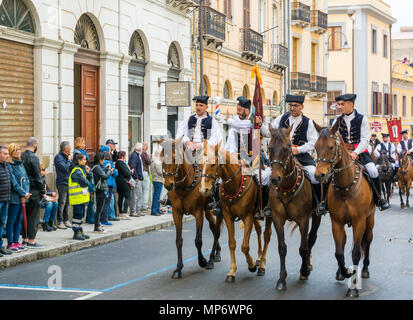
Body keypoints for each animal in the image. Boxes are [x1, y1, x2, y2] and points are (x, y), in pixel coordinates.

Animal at [159, 139, 222, 278]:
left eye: (175, 158)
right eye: (162, 159)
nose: (168, 185)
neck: (184, 186)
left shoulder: (198, 213)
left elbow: (198, 240)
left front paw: (202, 261)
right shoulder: (176, 213)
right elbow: (178, 240)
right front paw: (178, 268)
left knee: (217, 230)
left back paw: (211, 259)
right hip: (207, 210)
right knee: (213, 227)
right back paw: (217, 253)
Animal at [198, 142, 268, 282]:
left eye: (213, 164)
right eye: (200, 164)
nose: (203, 190)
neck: (235, 185)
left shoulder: (247, 217)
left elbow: (245, 246)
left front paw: (251, 265)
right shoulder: (227, 216)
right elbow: (232, 243)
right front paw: (232, 272)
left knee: (266, 235)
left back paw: (261, 264)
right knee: (258, 230)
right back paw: (259, 258)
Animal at [264, 126, 322, 292]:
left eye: (287, 148)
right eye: (269, 148)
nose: (274, 178)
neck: (286, 186)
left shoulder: (303, 220)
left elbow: (303, 247)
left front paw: (304, 270)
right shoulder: (277, 219)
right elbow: (282, 248)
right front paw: (281, 279)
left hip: (316, 216)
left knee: (311, 238)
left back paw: (307, 265)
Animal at [314, 121, 374, 298]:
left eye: (331, 147)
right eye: (315, 146)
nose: (319, 175)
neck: (346, 188)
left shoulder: (359, 222)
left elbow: (355, 253)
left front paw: (353, 286)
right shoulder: (337, 222)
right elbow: (339, 253)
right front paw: (344, 271)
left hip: (370, 219)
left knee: (368, 241)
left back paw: (365, 269)